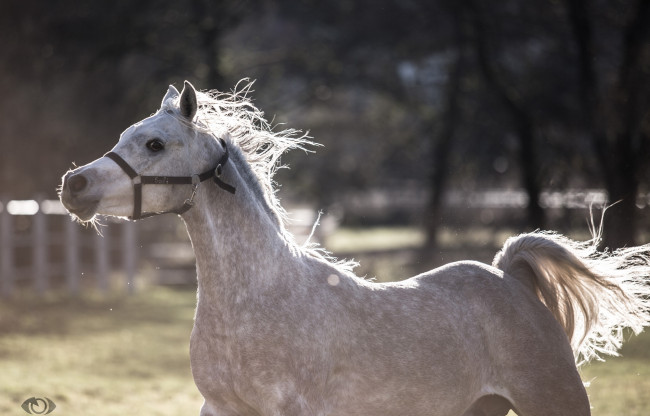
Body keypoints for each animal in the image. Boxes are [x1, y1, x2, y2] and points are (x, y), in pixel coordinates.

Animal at [60, 79, 648, 414]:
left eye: (155, 144)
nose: (73, 186)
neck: (257, 300)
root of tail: (509, 277)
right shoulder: (221, 410)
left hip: (554, 402)